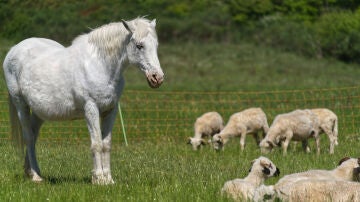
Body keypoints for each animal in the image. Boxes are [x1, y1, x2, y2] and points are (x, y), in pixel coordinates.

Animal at [2, 17, 165, 185]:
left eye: (156, 45)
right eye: (139, 45)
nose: (157, 78)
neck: (100, 66)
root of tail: (14, 49)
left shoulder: (111, 110)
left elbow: (106, 144)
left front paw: (109, 180)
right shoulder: (91, 108)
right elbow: (97, 144)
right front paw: (99, 179)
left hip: (39, 112)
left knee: (33, 137)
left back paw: (31, 171)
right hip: (21, 105)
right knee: (28, 137)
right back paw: (35, 176)